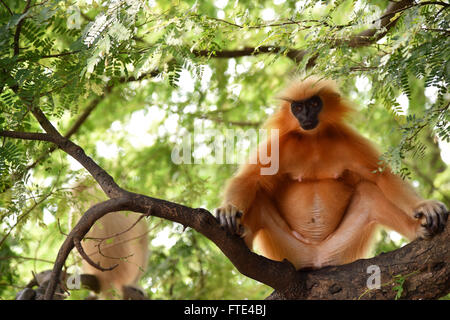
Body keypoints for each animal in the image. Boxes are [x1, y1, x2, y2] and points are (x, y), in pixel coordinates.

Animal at [216, 77, 448, 270]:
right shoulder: (281, 144)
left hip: (340, 248)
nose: (306, 115)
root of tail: (315, 257)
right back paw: (242, 234)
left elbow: (382, 176)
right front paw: (228, 208)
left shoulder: (347, 139)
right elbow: (249, 179)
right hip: (288, 249)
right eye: (297, 107)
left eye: (314, 104)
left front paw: (423, 205)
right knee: (261, 197)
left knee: (369, 192)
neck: (313, 140)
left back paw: (418, 230)